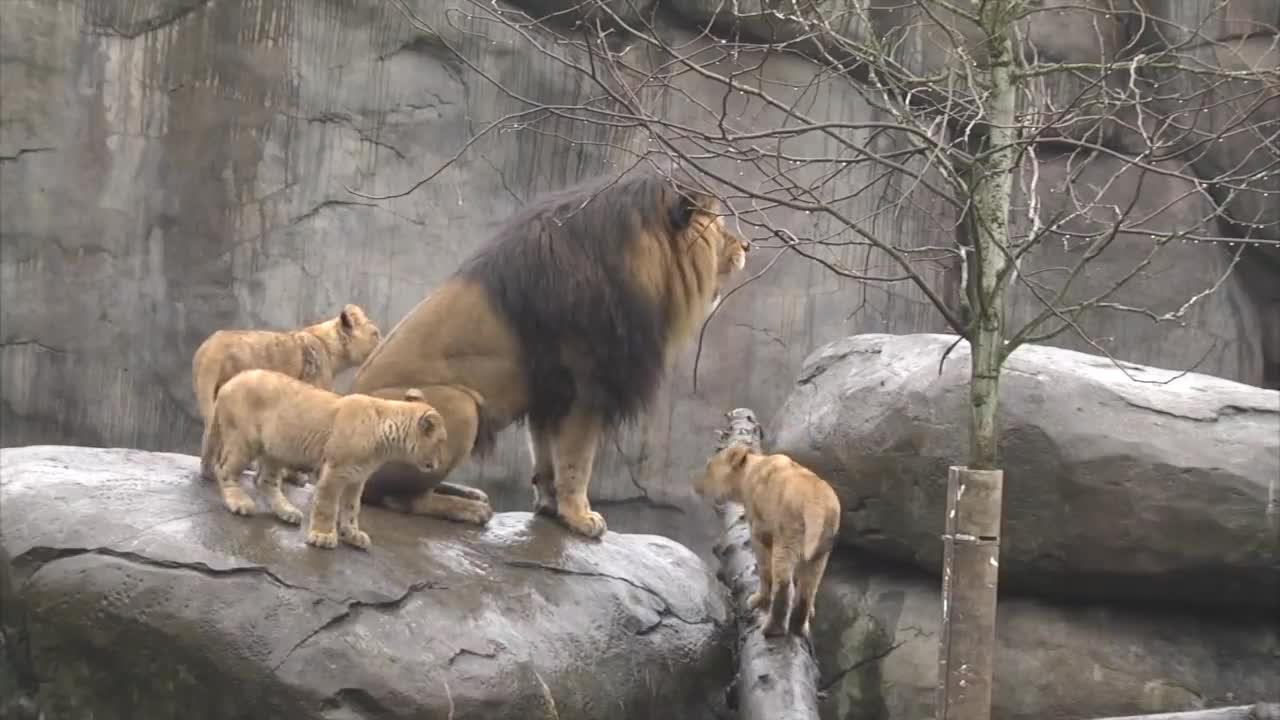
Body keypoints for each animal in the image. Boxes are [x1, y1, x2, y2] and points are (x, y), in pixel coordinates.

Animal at [189, 302, 378, 481]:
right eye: (375, 333)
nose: (381, 340)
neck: (330, 348)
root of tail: (214, 347)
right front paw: (294, 476)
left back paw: (210, 471)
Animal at [202, 366, 448, 545]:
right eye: (441, 442)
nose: (438, 464)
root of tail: (230, 382)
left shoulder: (357, 478)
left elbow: (352, 508)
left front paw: (352, 534)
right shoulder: (336, 470)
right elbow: (328, 504)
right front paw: (323, 536)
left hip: (276, 449)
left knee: (264, 481)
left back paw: (287, 512)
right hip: (245, 440)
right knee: (224, 469)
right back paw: (239, 502)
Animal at [350, 167, 747, 535]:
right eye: (719, 224)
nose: (746, 246)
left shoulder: (550, 390)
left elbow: (545, 454)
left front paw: (549, 505)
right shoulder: (588, 385)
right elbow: (577, 460)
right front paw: (581, 517)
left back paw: (466, 492)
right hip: (458, 406)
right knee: (395, 497)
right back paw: (464, 508)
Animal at [696, 445, 834, 635]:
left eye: (709, 466)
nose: (696, 484)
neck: (750, 471)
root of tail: (817, 502)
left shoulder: (759, 531)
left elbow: (764, 569)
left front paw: (758, 600)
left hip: (787, 537)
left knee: (784, 586)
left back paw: (772, 629)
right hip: (821, 550)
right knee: (808, 588)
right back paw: (800, 627)